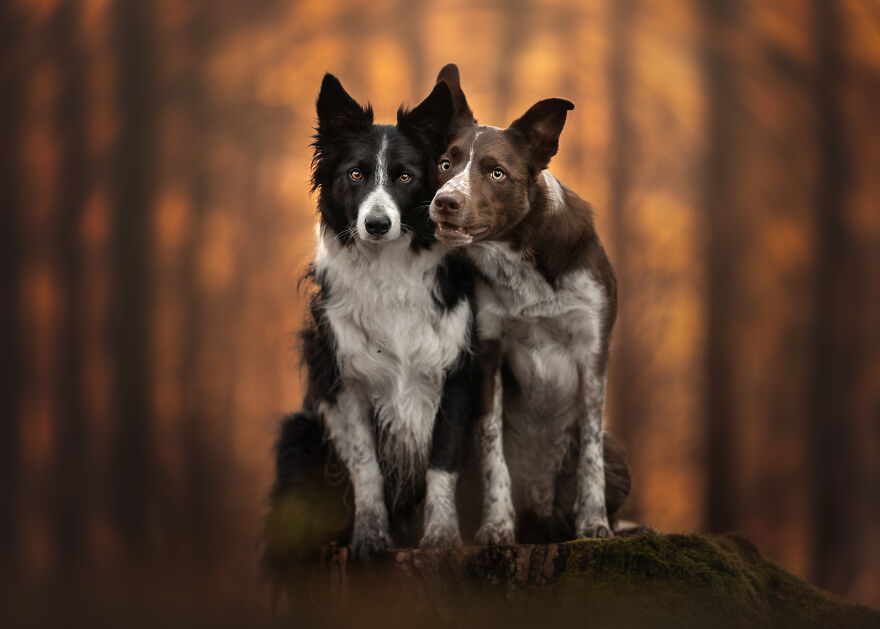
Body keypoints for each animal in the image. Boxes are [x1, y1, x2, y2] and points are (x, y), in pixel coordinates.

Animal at [276, 75, 482, 560]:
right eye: (355, 174)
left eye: (405, 176)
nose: (376, 224)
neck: (389, 267)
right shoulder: (342, 377)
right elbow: (365, 464)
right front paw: (370, 537)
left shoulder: (457, 373)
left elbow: (442, 462)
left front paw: (441, 538)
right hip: (298, 432)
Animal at [424, 65, 624, 544]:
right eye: (445, 164)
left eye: (497, 173)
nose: (444, 202)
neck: (520, 256)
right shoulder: (488, 350)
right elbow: (493, 447)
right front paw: (497, 525)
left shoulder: (593, 348)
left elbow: (590, 449)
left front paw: (594, 523)